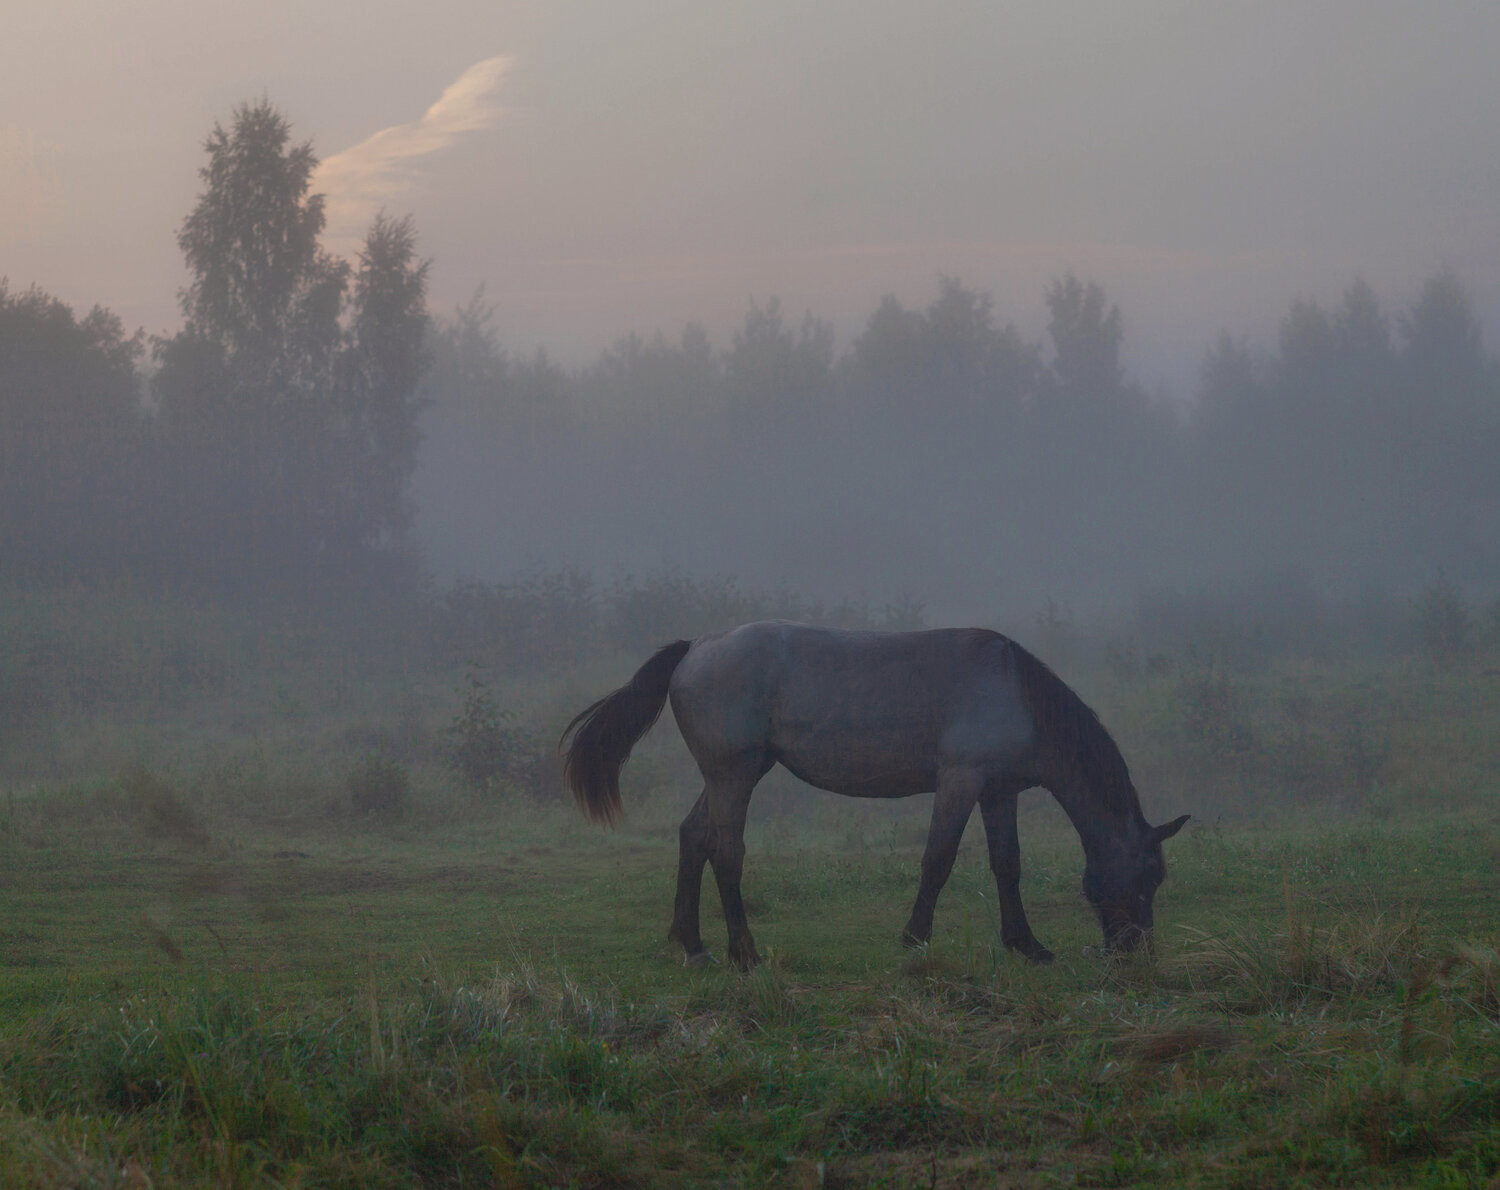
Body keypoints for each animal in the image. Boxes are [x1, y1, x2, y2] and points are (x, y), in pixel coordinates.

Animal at [561, 621, 1188, 970]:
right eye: (1146, 877)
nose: (1135, 951)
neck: (1018, 694)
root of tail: (695, 648)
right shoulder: (960, 781)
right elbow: (937, 860)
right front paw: (915, 938)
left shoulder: (998, 793)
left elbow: (1007, 865)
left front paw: (1025, 944)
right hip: (734, 775)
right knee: (725, 851)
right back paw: (745, 952)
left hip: (735, 774)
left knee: (693, 838)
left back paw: (693, 944)